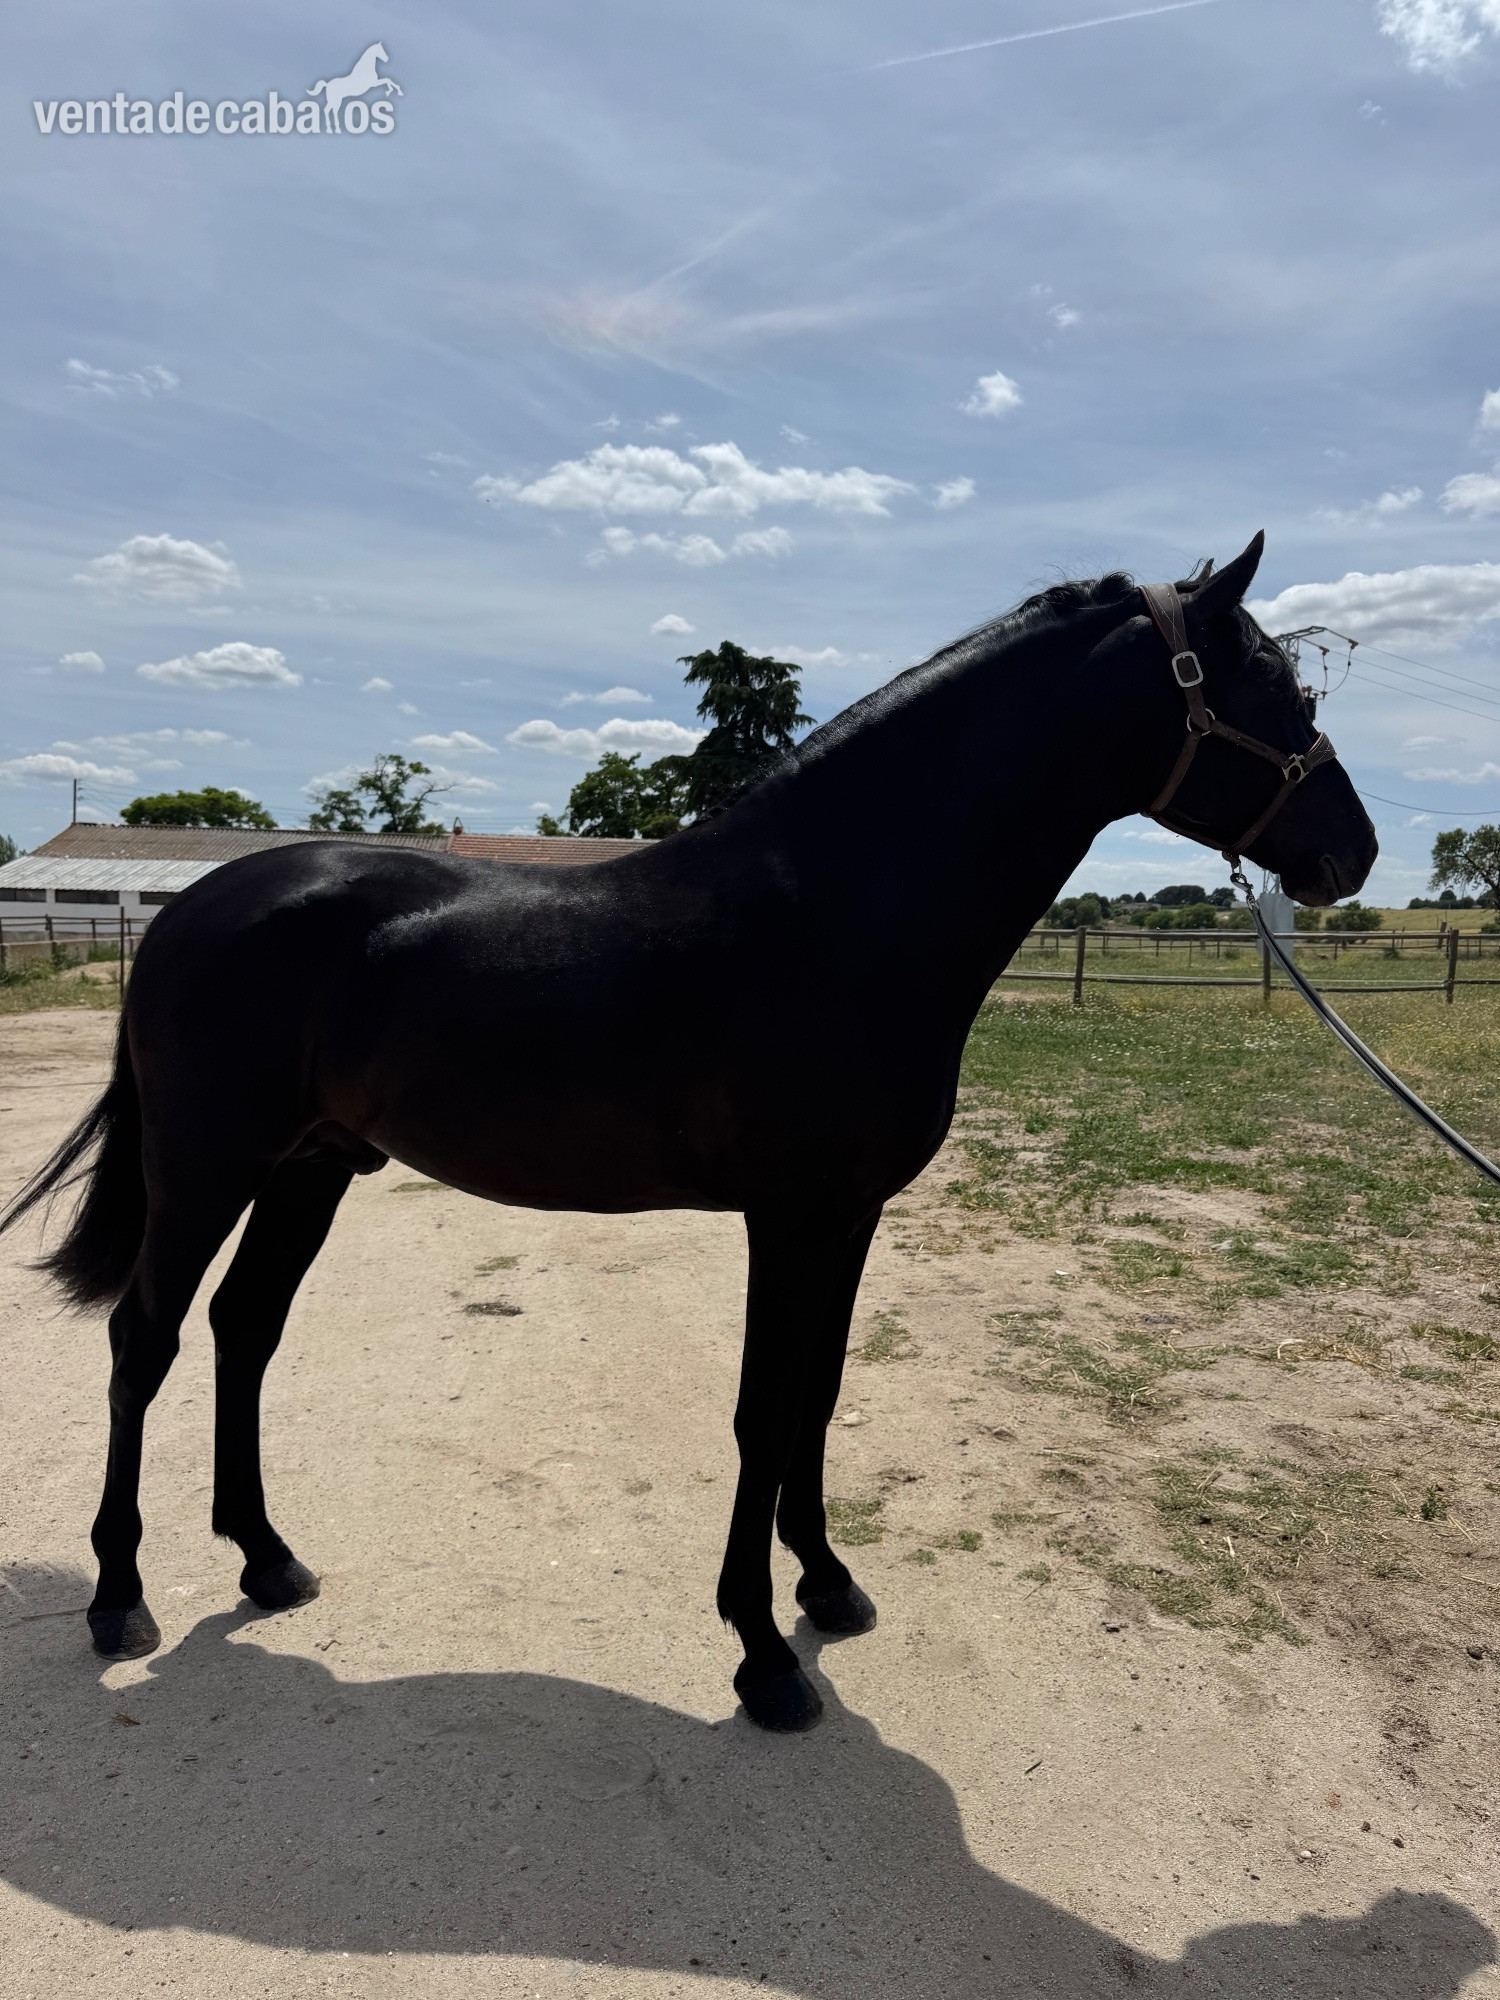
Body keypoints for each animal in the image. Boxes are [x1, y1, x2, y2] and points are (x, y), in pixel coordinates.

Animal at [1, 534, 1376, 1732]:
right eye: (1278, 684)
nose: (1352, 850)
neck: (839, 913)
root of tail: (188, 910)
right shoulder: (792, 1213)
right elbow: (763, 1413)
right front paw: (765, 1658)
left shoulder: (849, 1215)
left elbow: (818, 1395)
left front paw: (829, 1584)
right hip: (206, 1166)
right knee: (145, 1338)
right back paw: (120, 1598)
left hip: (311, 1168)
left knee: (245, 1329)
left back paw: (268, 1559)